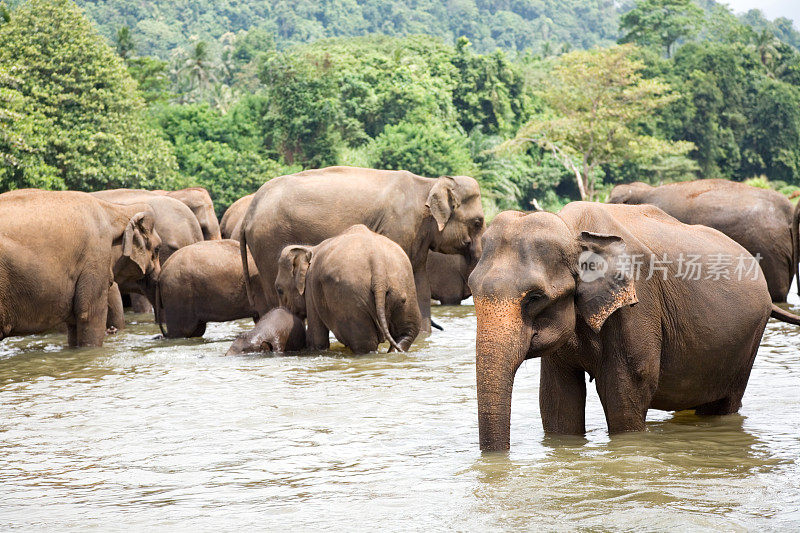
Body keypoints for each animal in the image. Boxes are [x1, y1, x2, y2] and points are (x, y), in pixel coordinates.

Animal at [0, 189, 162, 348]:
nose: (158, 335)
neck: (116, 210)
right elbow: (89, 315)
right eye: (158, 249)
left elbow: (74, 324)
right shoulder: (94, 257)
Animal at [241, 164, 484, 330]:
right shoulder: (398, 228)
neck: (428, 183)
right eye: (479, 222)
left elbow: (420, 284)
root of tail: (249, 212)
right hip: (269, 242)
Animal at [276, 222, 422, 352]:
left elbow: (317, 339)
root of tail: (378, 263)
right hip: (404, 288)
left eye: (279, 290)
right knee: (406, 334)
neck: (310, 248)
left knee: (364, 343)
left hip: (351, 298)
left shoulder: (311, 284)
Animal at [468, 202, 800, 450]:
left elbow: (625, 386)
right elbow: (558, 399)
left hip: (747, 343)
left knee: (723, 404)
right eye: (471, 289)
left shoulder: (639, 304)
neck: (574, 230)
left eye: (535, 297)